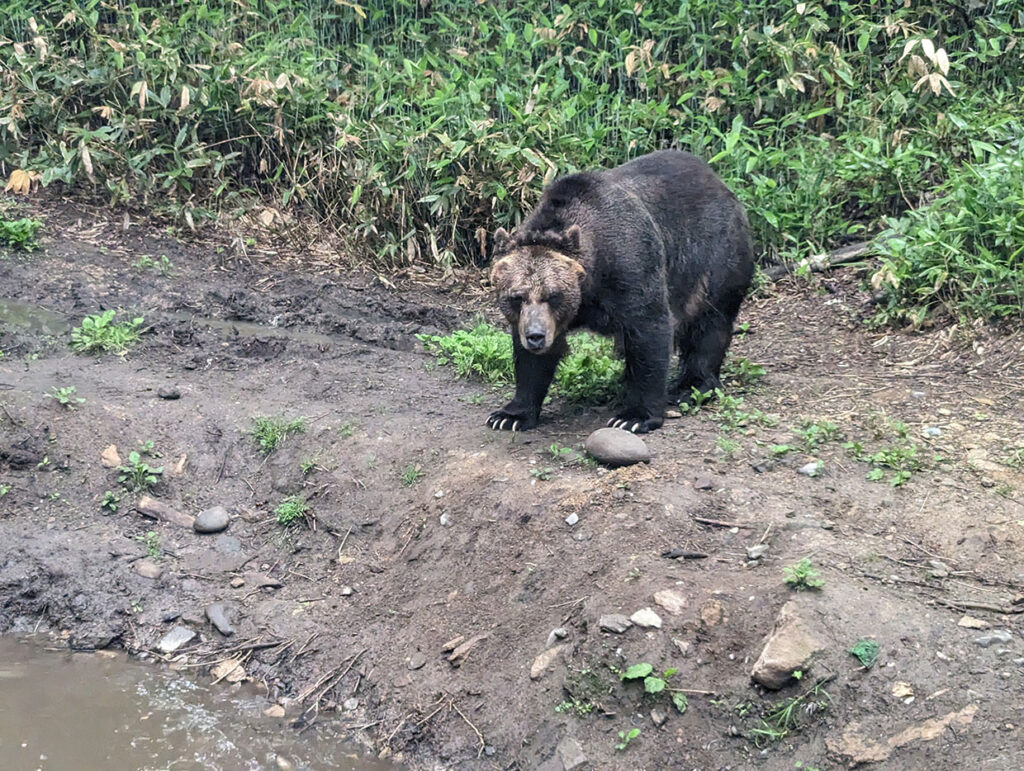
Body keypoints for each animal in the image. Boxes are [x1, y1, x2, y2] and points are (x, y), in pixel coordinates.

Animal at [487, 147, 753, 430]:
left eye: (553, 295)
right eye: (517, 297)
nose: (535, 336)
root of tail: (718, 180)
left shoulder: (630, 267)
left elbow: (649, 329)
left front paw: (635, 416)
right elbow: (531, 362)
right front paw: (509, 415)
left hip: (715, 256)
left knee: (710, 323)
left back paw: (690, 386)